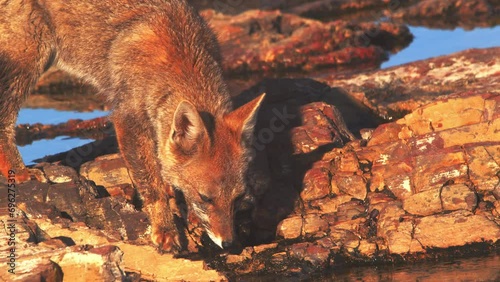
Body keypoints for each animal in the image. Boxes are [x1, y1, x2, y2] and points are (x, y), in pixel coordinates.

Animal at [0, 0, 266, 251]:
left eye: (238, 198)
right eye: (205, 197)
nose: (229, 244)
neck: (180, 58)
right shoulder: (127, 118)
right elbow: (150, 184)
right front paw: (165, 228)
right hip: (29, 59)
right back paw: (19, 171)